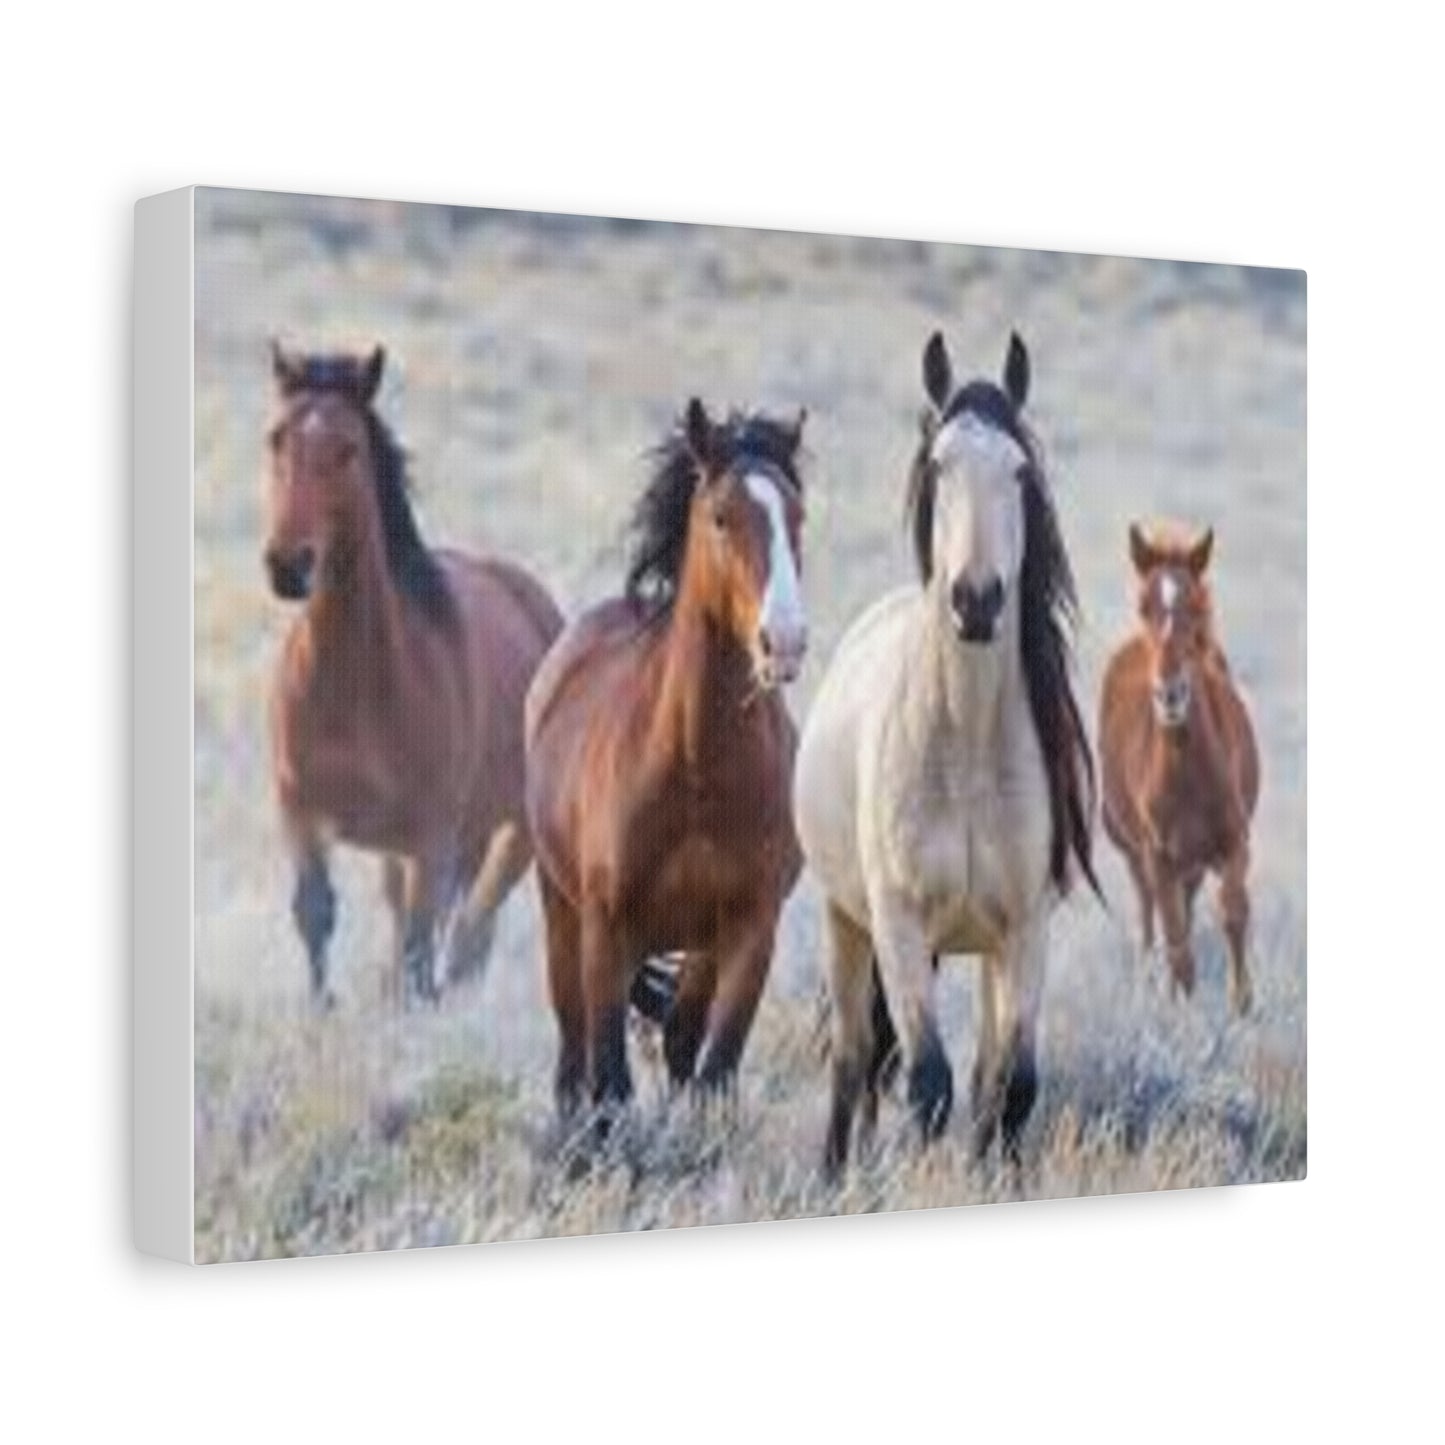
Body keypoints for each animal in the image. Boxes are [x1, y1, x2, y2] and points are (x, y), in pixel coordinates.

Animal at [262, 343, 563, 1007]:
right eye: (275, 439)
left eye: (348, 447)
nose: (288, 566)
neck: (352, 688)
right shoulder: (300, 815)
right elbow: (315, 914)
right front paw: (322, 1011)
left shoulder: (431, 839)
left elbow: (425, 948)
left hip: (508, 834)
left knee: (469, 936)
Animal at [524, 398, 808, 1126]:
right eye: (720, 517)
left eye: (798, 516)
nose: (785, 640)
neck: (696, 770)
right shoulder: (606, 927)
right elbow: (609, 1081)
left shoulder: (749, 929)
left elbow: (713, 1067)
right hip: (562, 913)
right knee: (572, 1056)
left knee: (680, 1039)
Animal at [794, 331, 1098, 1177]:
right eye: (937, 465)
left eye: (1020, 471)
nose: (975, 599)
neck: (962, 750)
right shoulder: (897, 926)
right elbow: (926, 1082)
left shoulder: (1025, 930)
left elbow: (1010, 1085)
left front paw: (996, 1178)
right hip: (846, 922)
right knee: (855, 1057)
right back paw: (835, 1174)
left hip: (986, 953)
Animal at [1098, 523, 1260, 1016]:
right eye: (1144, 606)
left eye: (1196, 607)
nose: (1170, 694)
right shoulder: (1158, 855)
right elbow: (1175, 941)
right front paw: (1183, 1015)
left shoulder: (1233, 840)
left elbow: (1233, 911)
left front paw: (1243, 1005)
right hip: (1138, 855)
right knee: (1151, 920)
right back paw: (1152, 988)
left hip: (1193, 862)